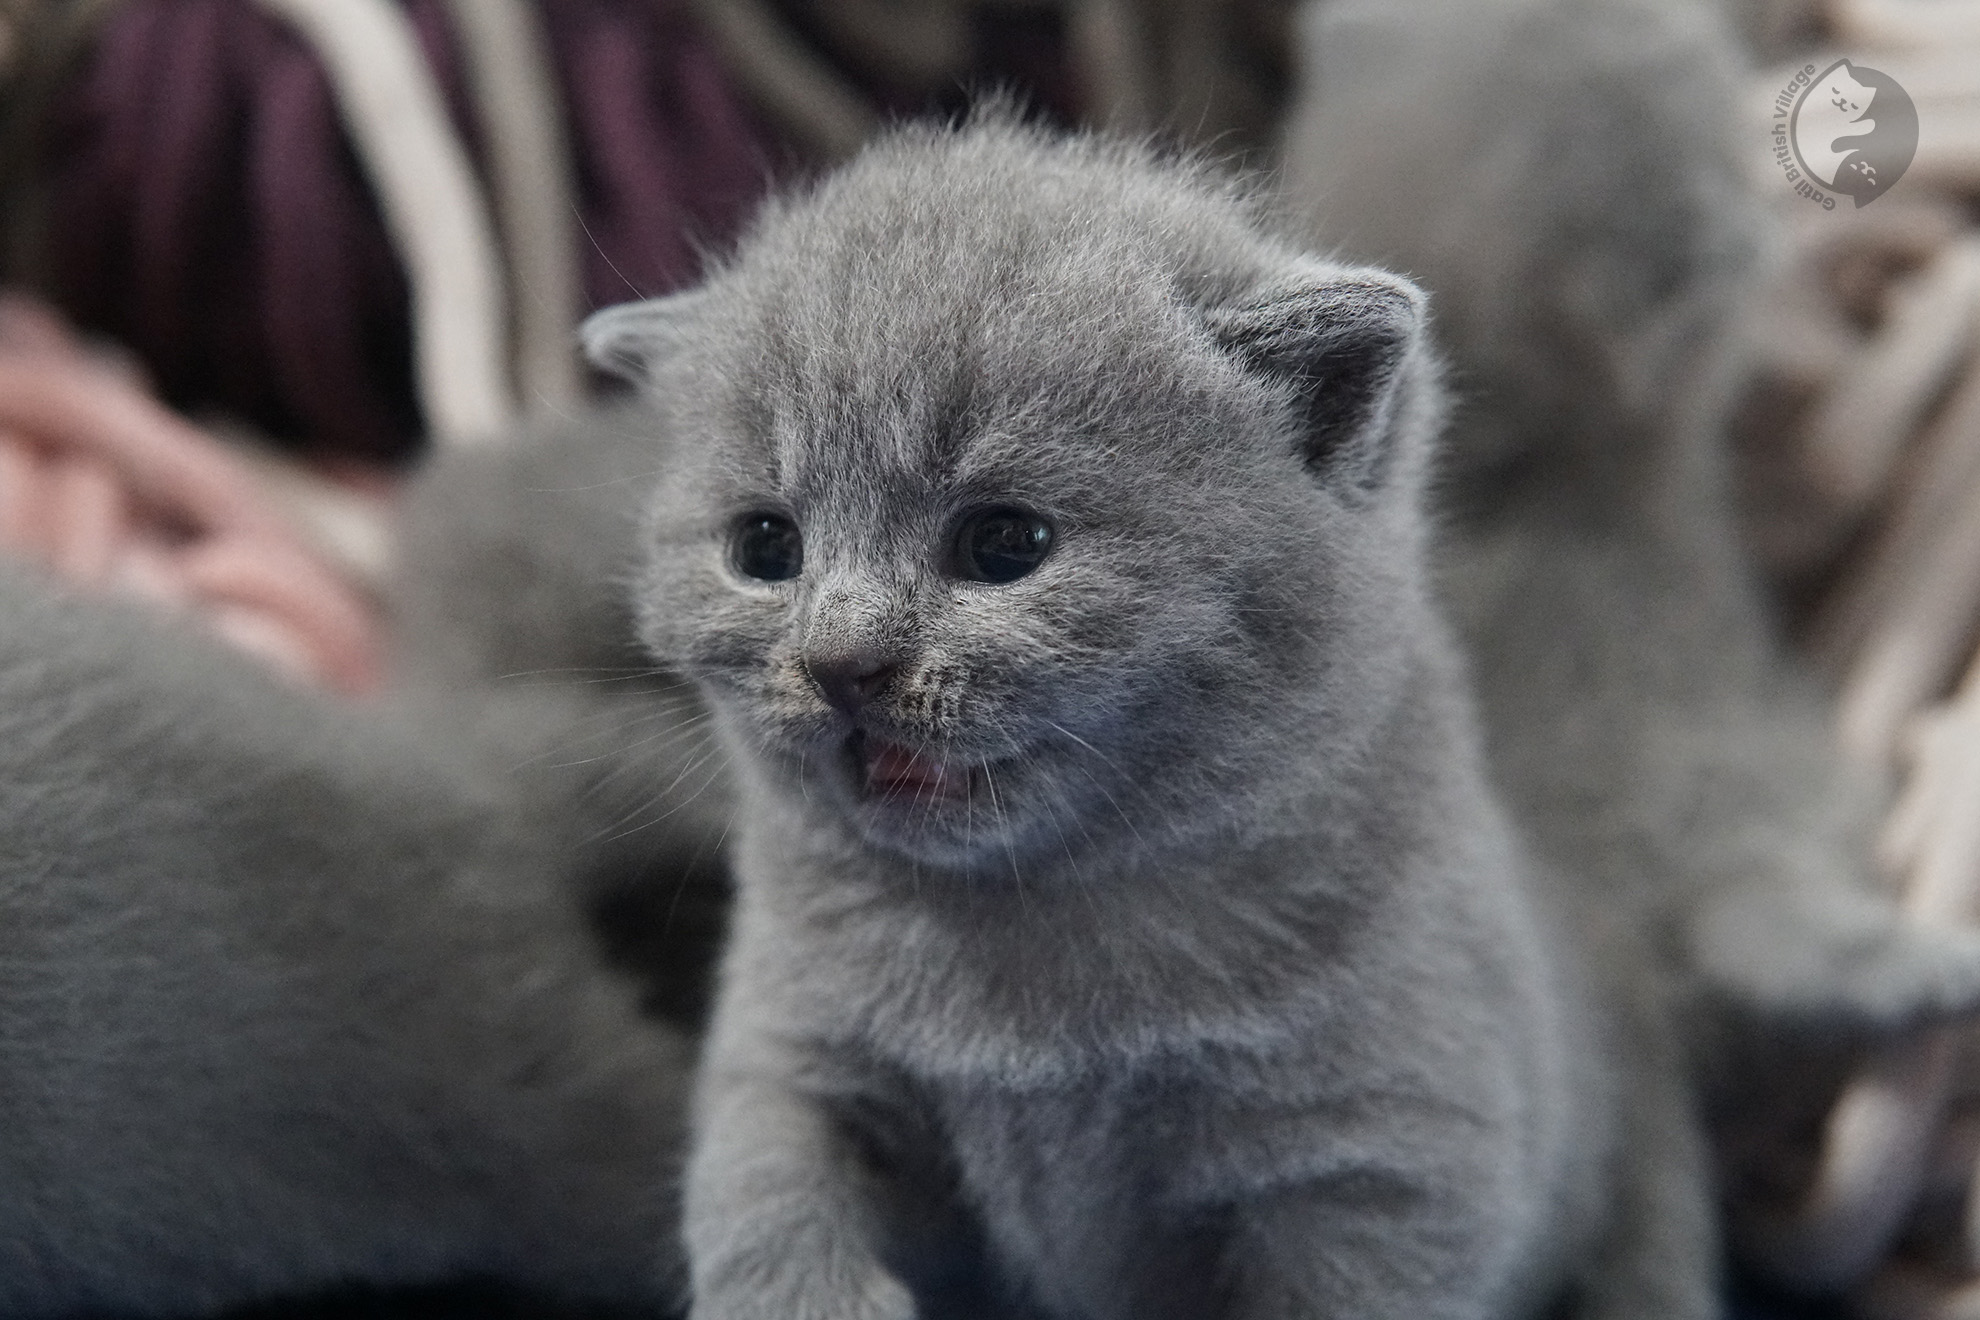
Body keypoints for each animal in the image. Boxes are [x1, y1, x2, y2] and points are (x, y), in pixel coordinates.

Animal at [586, 118, 1702, 1314]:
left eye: (1005, 544)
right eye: (765, 547)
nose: (843, 663)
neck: (1026, 931)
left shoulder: (1382, 1171)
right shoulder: (789, 1056)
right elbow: (765, 1202)